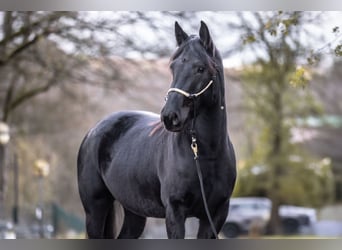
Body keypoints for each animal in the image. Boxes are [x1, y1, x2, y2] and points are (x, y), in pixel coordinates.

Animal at [77, 21, 235, 238]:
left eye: (200, 68)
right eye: (172, 67)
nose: (170, 116)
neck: (206, 153)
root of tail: (94, 130)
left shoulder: (216, 215)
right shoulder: (175, 212)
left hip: (134, 212)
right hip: (95, 209)